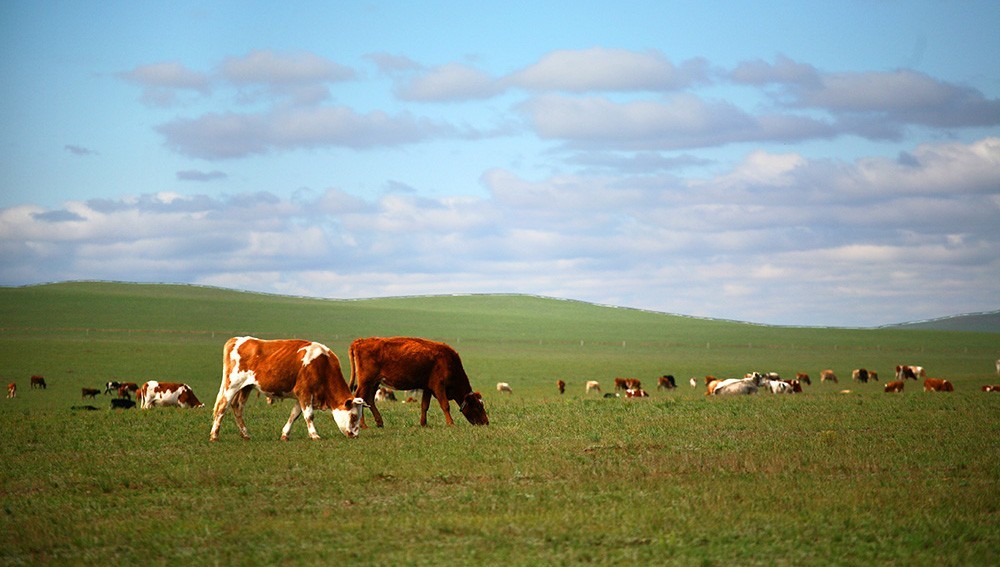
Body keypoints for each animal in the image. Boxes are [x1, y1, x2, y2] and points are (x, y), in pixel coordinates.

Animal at [211, 338, 368, 444]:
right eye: (354, 416)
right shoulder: (305, 392)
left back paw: (245, 435)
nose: (355, 435)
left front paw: (285, 435)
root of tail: (236, 339)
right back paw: (214, 436)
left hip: (245, 387)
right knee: (222, 407)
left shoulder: (301, 397)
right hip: (232, 385)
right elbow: (309, 416)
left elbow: (294, 415)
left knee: (237, 407)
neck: (323, 365)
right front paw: (314, 435)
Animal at [352, 336, 488, 428]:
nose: (486, 422)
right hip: (366, 382)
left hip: (374, 383)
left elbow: (424, 405)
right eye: (478, 406)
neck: (449, 361)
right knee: (359, 398)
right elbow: (445, 405)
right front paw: (451, 423)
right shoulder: (438, 386)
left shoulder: (428, 388)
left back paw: (379, 422)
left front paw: (423, 423)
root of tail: (360, 341)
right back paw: (363, 425)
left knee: (369, 399)